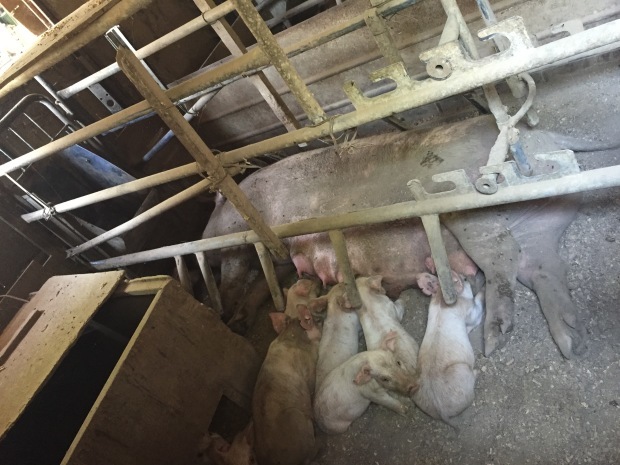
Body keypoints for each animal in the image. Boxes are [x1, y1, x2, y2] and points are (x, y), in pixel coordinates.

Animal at [203, 114, 590, 358]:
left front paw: (227, 312)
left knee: (503, 259)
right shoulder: (284, 256)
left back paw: (494, 341)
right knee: (541, 266)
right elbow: (259, 284)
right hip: (539, 223)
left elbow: (238, 274)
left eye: (211, 216)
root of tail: (542, 138)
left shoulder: (252, 235)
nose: (220, 315)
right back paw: (571, 342)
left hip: (470, 210)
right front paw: (235, 323)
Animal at [413, 272, 485, 426]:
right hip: (462, 371)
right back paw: (477, 371)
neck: (441, 299)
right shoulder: (470, 310)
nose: (480, 274)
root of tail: (441, 411)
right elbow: (477, 310)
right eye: (465, 278)